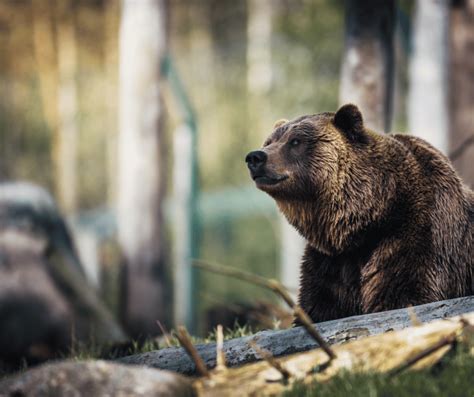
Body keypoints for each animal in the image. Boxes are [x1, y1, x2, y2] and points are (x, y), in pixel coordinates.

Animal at [246, 104, 472, 322]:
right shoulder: (331, 263)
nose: (255, 157)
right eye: (270, 141)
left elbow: (404, 294)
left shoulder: (417, 236)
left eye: (295, 141)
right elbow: (318, 306)